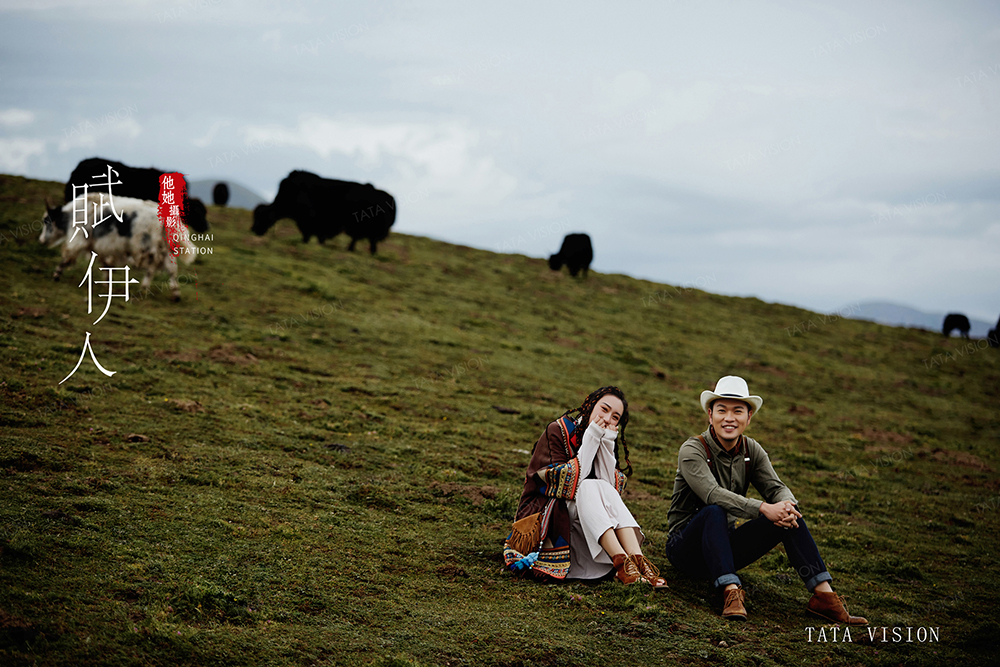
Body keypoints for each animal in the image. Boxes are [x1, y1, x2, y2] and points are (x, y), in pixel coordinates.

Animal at [40, 194, 196, 301]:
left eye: (46, 221)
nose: (41, 241)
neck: (74, 214)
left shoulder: (79, 240)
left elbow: (66, 257)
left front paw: (56, 275)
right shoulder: (100, 247)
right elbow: (105, 264)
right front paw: (107, 283)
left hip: (149, 247)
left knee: (153, 267)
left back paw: (144, 289)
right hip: (164, 248)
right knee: (171, 268)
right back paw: (174, 294)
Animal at [251, 170, 396, 254]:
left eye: (261, 217)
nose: (254, 230)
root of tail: (389, 198)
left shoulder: (309, 220)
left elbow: (309, 233)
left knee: (367, 240)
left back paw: (362, 251)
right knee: (360, 239)